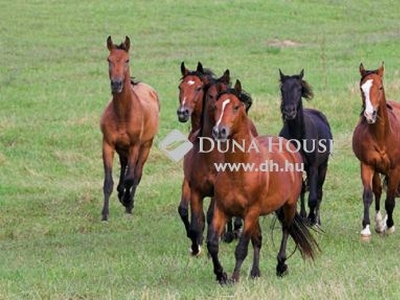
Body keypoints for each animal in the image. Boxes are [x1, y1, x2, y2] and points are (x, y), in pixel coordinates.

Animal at [99, 37, 159, 220]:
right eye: (109, 60)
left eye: (127, 60)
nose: (116, 84)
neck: (123, 115)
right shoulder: (108, 145)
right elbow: (109, 182)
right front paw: (105, 214)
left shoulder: (134, 146)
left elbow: (131, 178)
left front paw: (126, 200)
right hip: (122, 149)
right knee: (124, 168)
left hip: (146, 146)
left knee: (137, 174)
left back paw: (129, 203)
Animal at [208, 79, 320, 284]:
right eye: (216, 106)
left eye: (236, 107)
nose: (219, 131)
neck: (238, 171)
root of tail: (288, 146)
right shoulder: (222, 210)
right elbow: (213, 244)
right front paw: (221, 275)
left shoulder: (251, 212)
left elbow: (241, 248)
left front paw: (234, 278)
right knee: (258, 239)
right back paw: (255, 272)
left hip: (288, 205)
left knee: (286, 230)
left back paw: (281, 265)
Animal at [278, 69, 332, 225]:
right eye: (282, 89)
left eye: (299, 89)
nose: (289, 111)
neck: (299, 137)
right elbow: (300, 190)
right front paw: (302, 216)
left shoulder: (313, 167)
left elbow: (313, 197)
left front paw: (311, 218)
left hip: (323, 166)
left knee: (319, 191)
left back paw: (317, 219)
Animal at [352, 62, 400, 237]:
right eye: (362, 89)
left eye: (380, 87)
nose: (369, 114)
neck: (382, 136)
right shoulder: (367, 165)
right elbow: (368, 195)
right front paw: (366, 228)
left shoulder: (395, 169)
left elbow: (390, 200)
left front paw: (390, 226)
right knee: (378, 191)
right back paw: (380, 223)